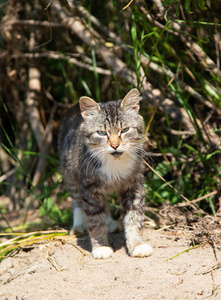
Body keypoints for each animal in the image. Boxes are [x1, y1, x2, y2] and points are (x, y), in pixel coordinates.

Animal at [57, 88, 153, 258]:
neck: (115, 162)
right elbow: (95, 219)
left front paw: (137, 244)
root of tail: (73, 107)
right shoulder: (89, 187)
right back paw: (79, 224)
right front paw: (101, 246)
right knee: (77, 200)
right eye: (101, 133)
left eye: (125, 130)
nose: (114, 145)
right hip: (70, 172)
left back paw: (109, 222)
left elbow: (134, 217)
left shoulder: (135, 184)